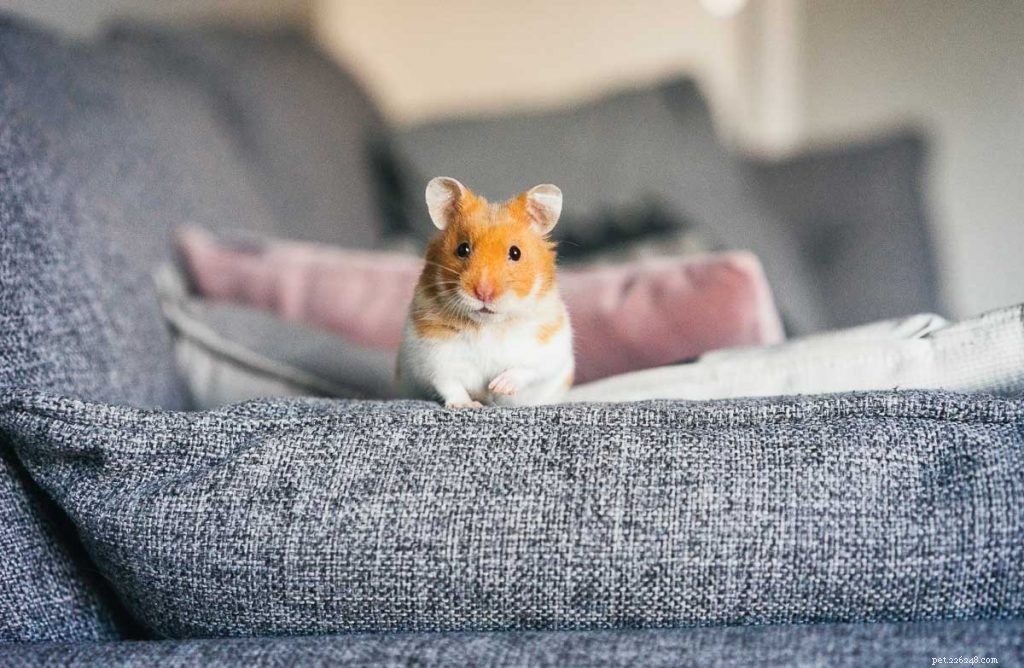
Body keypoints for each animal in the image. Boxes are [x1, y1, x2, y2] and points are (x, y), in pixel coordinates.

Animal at [396, 177, 575, 408]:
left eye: (515, 253)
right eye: (462, 249)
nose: (483, 293)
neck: (488, 325)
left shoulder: (548, 349)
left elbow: (527, 370)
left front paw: (498, 386)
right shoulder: (434, 356)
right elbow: (449, 383)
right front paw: (468, 405)